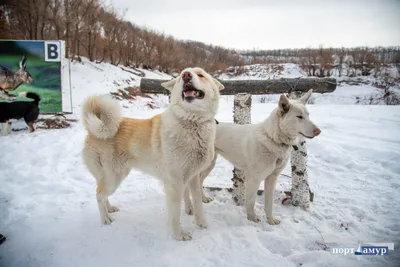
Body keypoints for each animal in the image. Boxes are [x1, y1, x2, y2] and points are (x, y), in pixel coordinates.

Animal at [80, 67, 225, 241]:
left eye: (201, 75)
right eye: (180, 77)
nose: (186, 75)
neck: (192, 123)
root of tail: (93, 131)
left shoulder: (193, 177)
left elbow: (197, 201)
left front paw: (201, 224)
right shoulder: (174, 184)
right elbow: (175, 214)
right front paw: (179, 235)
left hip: (111, 176)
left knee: (100, 191)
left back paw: (110, 209)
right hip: (114, 177)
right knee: (99, 195)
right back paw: (105, 219)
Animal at [186, 90, 320, 226]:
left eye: (308, 115)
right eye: (299, 117)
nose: (318, 131)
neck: (273, 139)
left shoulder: (272, 178)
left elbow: (269, 203)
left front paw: (270, 220)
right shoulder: (254, 178)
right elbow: (250, 201)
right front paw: (252, 218)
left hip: (209, 165)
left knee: (199, 181)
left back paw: (203, 198)